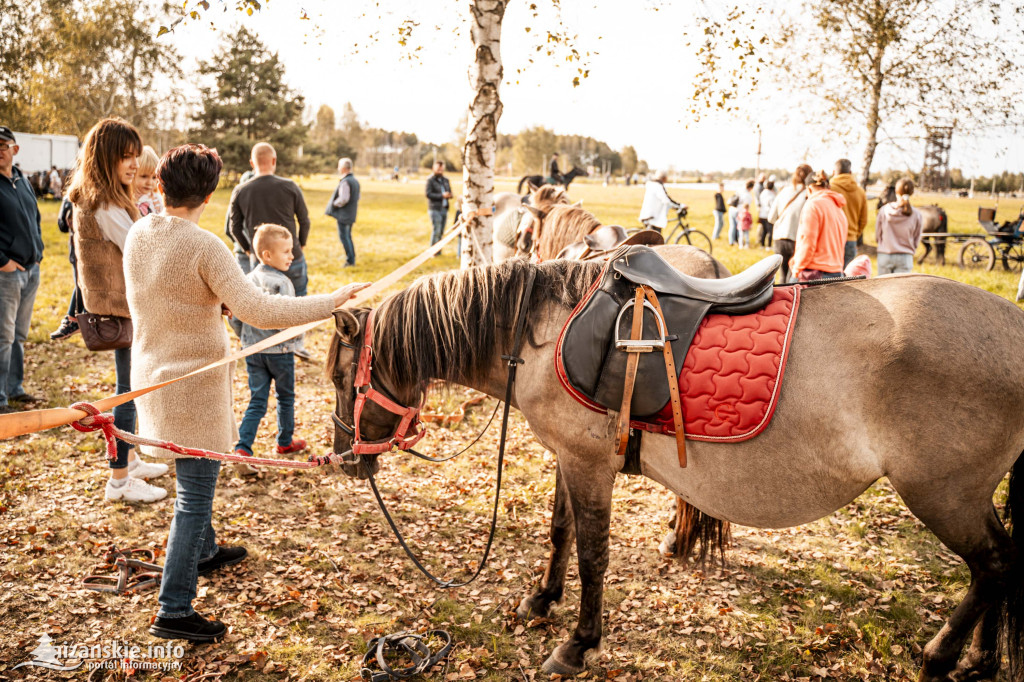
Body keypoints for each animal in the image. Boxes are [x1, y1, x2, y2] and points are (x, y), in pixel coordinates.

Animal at [329, 258, 1024, 675]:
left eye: (339, 376)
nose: (344, 459)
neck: (543, 330)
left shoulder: (588, 464)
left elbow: (593, 553)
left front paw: (578, 643)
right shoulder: (569, 458)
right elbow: (558, 533)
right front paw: (542, 599)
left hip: (943, 495)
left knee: (992, 565)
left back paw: (942, 655)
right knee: (1002, 565)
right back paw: (981, 660)